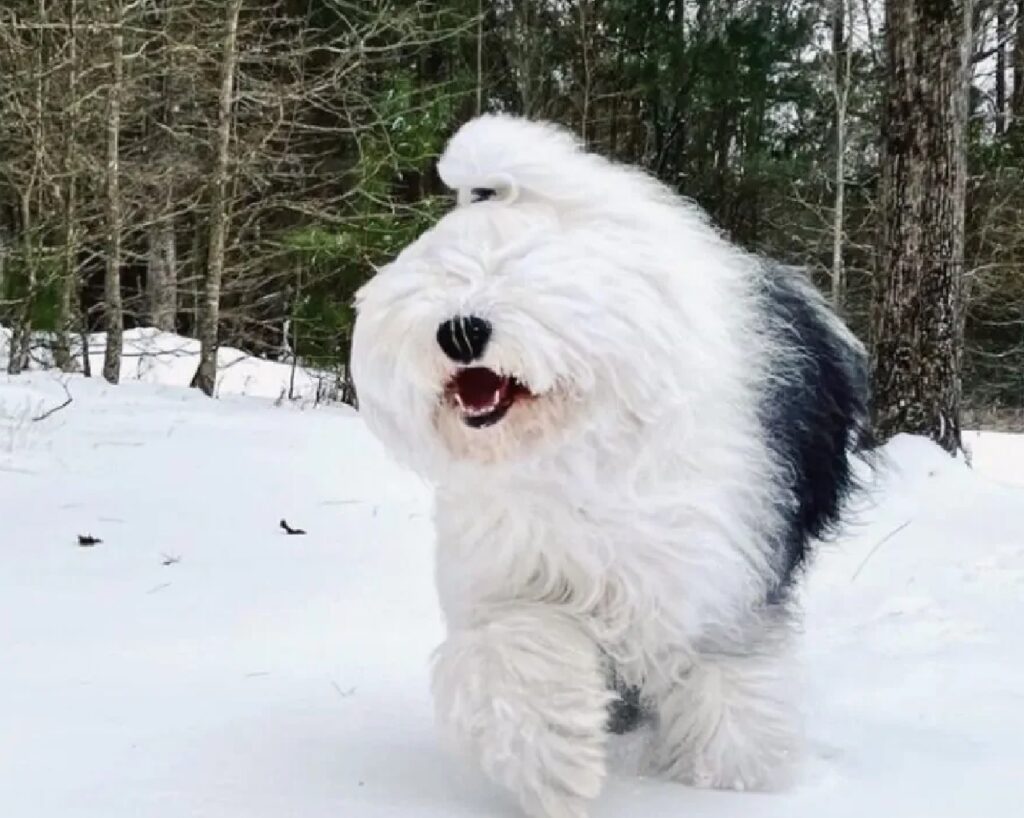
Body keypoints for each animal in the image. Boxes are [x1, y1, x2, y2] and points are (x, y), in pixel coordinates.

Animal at [348, 115, 868, 818]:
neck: (577, 449)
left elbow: (727, 679)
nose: (459, 331)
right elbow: (516, 653)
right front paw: (558, 765)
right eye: (443, 273)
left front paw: (728, 782)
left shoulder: (714, 581)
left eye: (527, 272)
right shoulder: (517, 572)